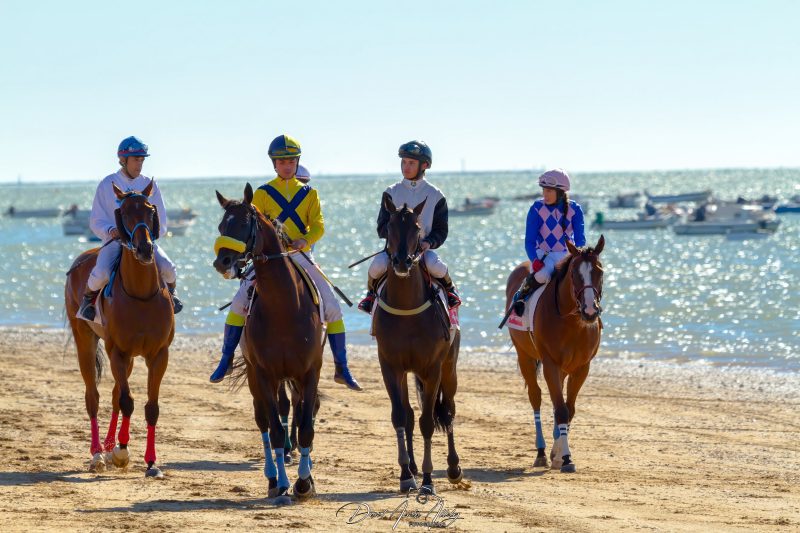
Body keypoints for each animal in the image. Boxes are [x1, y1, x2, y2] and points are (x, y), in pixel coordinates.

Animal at [64, 180, 174, 477]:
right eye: (123, 213)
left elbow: (150, 407)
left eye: (150, 210)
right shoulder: (118, 352)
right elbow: (127, 401)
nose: (145, 249)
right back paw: (97, 453)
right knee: (93, 396)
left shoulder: (158, 354)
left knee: (114, 395)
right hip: (85, 340)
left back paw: (108, 444)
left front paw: (151, 462)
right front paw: (122, 451)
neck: (141, 294)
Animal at [213, 183, 323, 499]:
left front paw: (305, 481)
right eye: (222, 226)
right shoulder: (263, 374)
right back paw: (273, 476)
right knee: (263, 421)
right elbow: (273, 429)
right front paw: (284, 482)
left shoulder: (309, 372)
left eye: (242, 224)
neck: (283, 307)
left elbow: (307, 424)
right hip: (257, 378)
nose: (222, 262)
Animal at [373, 194, 462, 494]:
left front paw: (427, 480)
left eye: (416, 227)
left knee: (448, 411)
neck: (407, 309)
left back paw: (454, 468)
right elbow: (401, 417)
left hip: (449, 368)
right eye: (389, 226)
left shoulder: (432, 369)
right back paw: (411, 467)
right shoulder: (391, 367)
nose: (402, 262)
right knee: (411, 415)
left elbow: (427, 421)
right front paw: (406, 475)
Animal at [504, 235, 605, 473]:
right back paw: (541, 451)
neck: (572, 322)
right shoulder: (550, 363)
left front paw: (558, 454)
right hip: (524, 356)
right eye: (574, 274)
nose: (590, 311)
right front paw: (566, 457)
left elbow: (568, 408)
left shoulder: (581, 367)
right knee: (536, 396)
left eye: (600, 271)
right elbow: (561, 410)